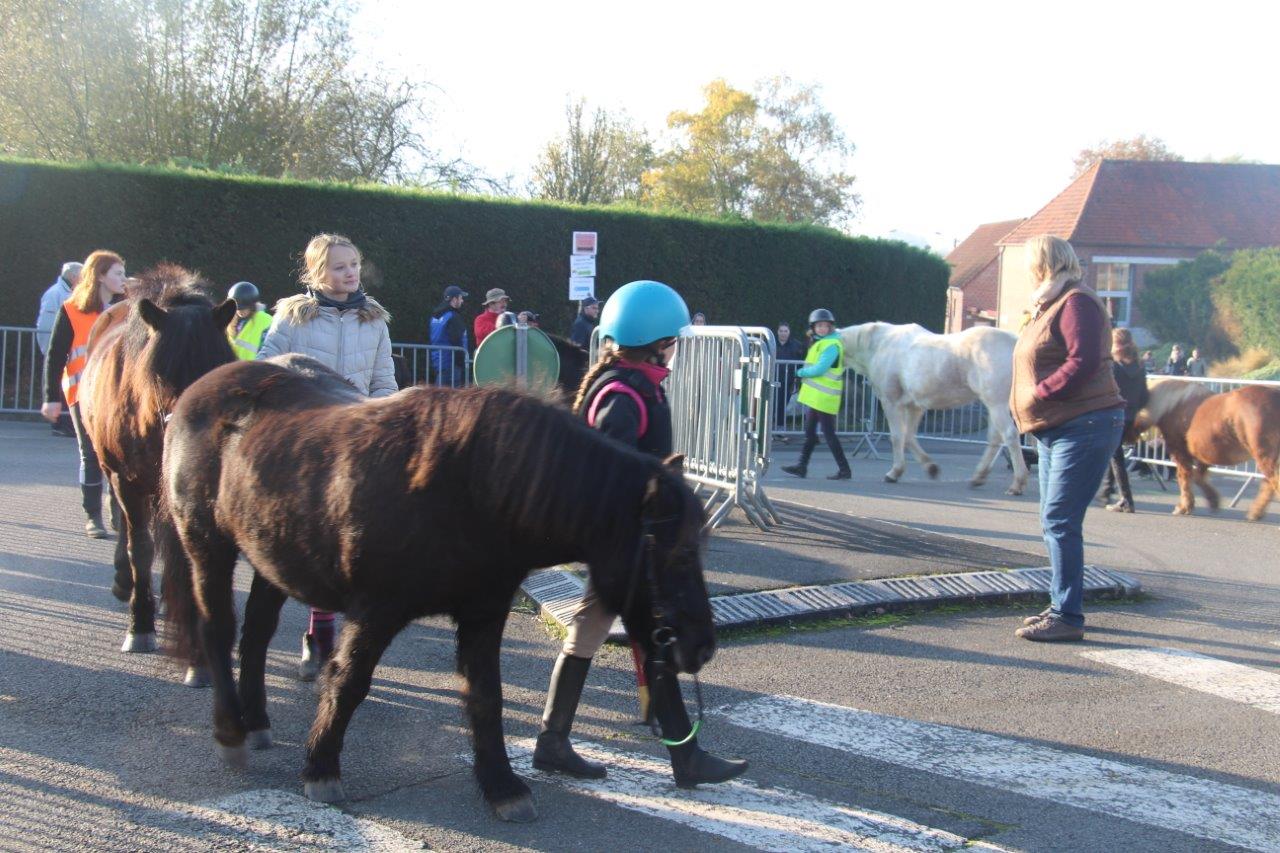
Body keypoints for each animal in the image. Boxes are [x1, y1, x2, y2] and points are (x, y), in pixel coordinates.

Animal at [80, 263, 238, 650]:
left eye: (217, 369)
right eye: (161, 372)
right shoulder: (126, 478)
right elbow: (141, 545)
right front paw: (140, 624)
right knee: (125, 523)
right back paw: (125, 581)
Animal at [161, 350, 716, 819]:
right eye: (680, 553)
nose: (701, 647)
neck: (473, 486)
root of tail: (202, 387)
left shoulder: (483, 614)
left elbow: (486, 695)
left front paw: (502, 786)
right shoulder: (375, 610)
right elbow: (348, 681)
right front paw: (321, 768)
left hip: (270, 554)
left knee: (255, 635)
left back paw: (255, 722)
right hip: (207, 546)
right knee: (217, 631)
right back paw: (231, 731)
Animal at [839, 322, 1029, 494]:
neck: (879, 344)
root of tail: (1015, 343)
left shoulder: (891, 402)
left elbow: (897, 437)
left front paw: (894, 472)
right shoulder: (915, 406)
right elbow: (908, 437)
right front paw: (931, 468)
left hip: (997, 404)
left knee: (1010, 435)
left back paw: (1017, 484)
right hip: (992, 406)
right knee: (995, 438)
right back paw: (978, 477)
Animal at [1136, 379, 1274, 517]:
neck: (1172, 404)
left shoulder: (1180, 451)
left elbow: (1184, 477)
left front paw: (1184, 507)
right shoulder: (1204, 454)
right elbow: (1198, 477)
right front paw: (1211, 501)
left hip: (1264, 455)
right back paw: (1255, 512)